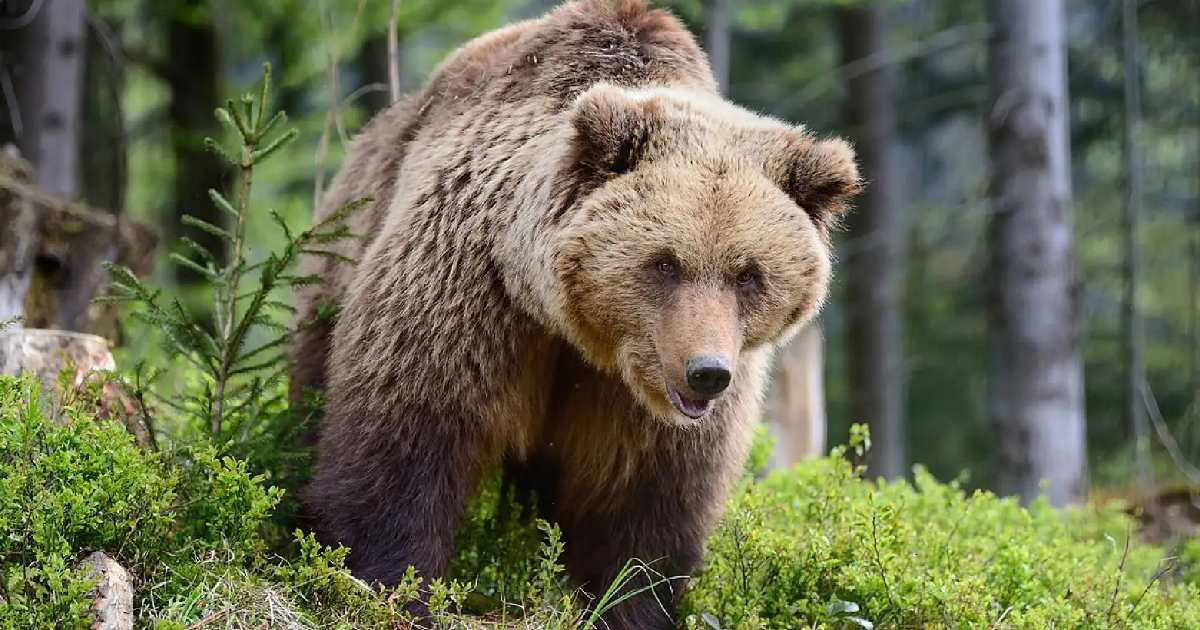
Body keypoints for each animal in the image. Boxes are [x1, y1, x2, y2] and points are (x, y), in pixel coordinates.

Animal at [294, 2, 859, 624]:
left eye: (748, 273)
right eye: (665, 263)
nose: (707, 372)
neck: (577, 331)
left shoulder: (648, 408)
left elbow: (644, 510)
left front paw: (626, 604)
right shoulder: (470, 293)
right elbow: (407, 441)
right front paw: (388, 585)